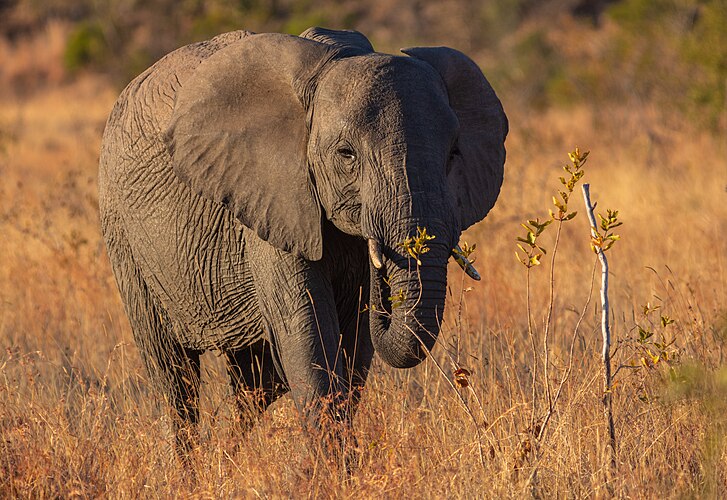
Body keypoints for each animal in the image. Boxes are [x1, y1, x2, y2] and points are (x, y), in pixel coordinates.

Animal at [98, 28, 506, 458]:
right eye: (346, 154)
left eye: (453, 154)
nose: (385, 287)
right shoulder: (273, 195)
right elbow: (308, 331)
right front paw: (336, 467)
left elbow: (353, 344)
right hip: (122, 233)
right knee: (174, 375)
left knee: (255, 384)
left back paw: (228, 454)